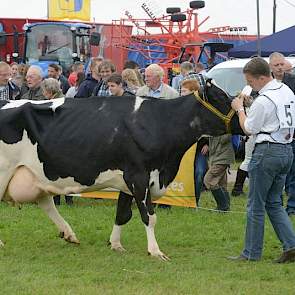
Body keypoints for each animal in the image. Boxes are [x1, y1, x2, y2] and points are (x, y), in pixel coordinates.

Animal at [0, 80, 243, 260]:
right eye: (222, 98)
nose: (242, 120)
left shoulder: (129, 180)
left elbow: (122, 213)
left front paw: (115, 244)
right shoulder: (139, 175)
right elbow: (149, 216)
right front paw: (155, 251)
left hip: (35, 174)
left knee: (46, 202)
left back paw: (69, 234)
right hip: (4, 172)